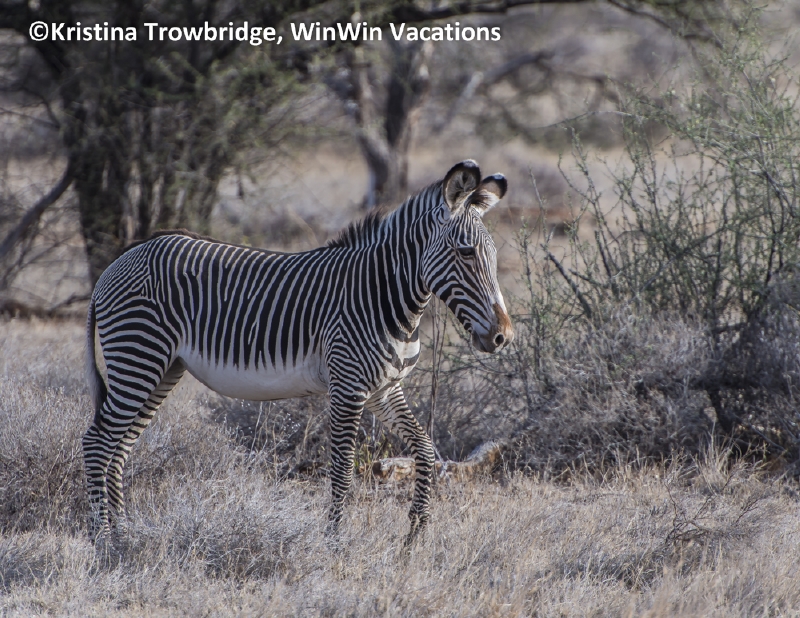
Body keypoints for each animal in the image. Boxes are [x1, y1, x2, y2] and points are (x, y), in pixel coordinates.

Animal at [84, 159, 513, 545]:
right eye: (466, 253)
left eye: (493, 257)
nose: (503, 337)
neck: (385, 297)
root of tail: (117, 264)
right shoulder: (348, 387)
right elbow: (342, 469)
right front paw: (333, 543)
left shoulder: (385, 389)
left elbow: (425, 450)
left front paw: (416, 531)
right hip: (138, 355)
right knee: (97, 442)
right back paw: (100, 537)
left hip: (162, 367)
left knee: (119, 446)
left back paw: (122, 532)